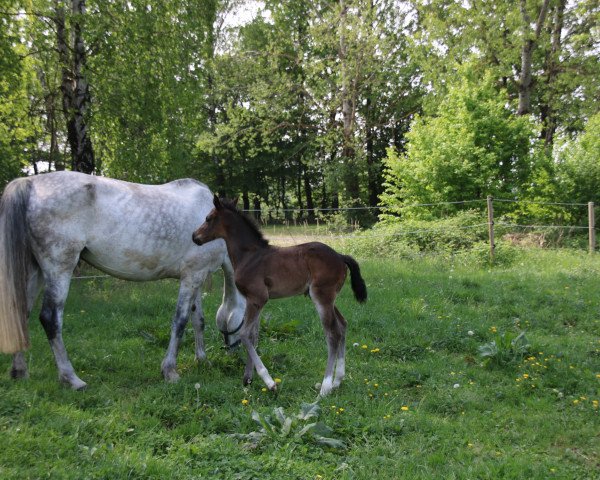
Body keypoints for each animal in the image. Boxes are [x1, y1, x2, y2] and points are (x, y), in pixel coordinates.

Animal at [192, 197, 366, 396]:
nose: (194, 237)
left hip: (322, 297)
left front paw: (269, 382)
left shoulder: (257, 298)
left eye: (208, 218)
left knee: (333, 333)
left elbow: (244, 334)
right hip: (328, 299)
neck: (249, 256)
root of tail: (339, 255)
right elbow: (253, 336)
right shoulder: (254, 301)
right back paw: (338, 380)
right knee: (343, 325)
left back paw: (326, 386)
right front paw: (248, 379)